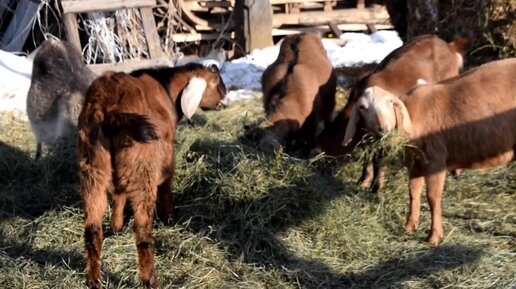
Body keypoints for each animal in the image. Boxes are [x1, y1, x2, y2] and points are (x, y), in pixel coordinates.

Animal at [77, 63, 227, 288]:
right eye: (216, 82)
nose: (225, 97)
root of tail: (109, 108)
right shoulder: (167, 156)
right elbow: (166, 188)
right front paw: (170, 219)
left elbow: (119, 195)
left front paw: (116, 226)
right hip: (142, 169)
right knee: (141, 228)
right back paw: (150, 279)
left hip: (93, 171)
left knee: (92, 229)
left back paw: (93, 279)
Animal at [314, 34, 468, 191]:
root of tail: (449, 47)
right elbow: (368, 154)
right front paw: (363, 181)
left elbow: (379, 158)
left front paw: (376, 187)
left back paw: (456, 170)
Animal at [342, 58, 516, 245]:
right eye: (363, 107)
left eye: (390, 102)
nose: (383, 129)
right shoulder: (415, 164)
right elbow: (413, 193)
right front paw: (409, 226)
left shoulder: (435, 162)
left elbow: (433, 198)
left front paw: (434, 236)